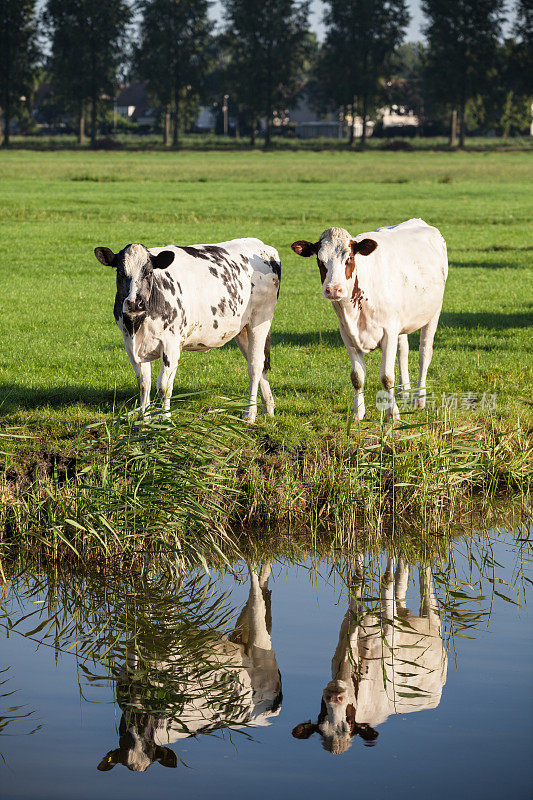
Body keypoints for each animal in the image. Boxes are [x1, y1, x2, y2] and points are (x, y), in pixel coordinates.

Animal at [93, 239, 280, 422]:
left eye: (149, 272)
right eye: (120, 272)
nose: (134, 303)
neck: (137, 325)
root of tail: (263, 246)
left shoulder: (171, 344)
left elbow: (163, 386)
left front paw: (165, 419)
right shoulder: (131, 345)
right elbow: (144, 384)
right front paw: (143, 419)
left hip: (260, 320)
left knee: (255, 365)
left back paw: (249, 413)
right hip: (243, 330)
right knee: (259, 363)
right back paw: (268, 408)